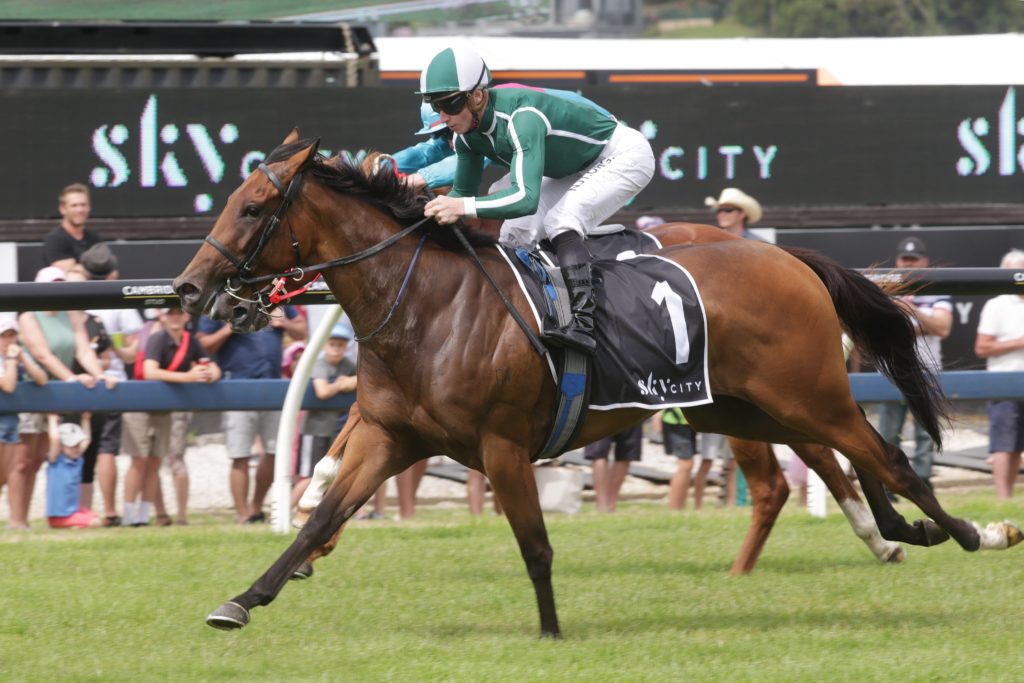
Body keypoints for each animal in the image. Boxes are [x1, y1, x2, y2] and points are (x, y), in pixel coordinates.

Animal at [174, 131, 1020, 637]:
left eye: (253, 206)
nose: (188, 289)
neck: (427, 305)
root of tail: (791, 258)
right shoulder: (392, 435)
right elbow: (321, 515)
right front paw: (241, 599)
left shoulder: (502, 444)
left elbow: (535, 544)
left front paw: (550, 630)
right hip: (744, 406)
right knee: (853, 457)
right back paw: (903, 532)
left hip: (801, 392)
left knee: (889, 456)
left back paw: (976, 531)